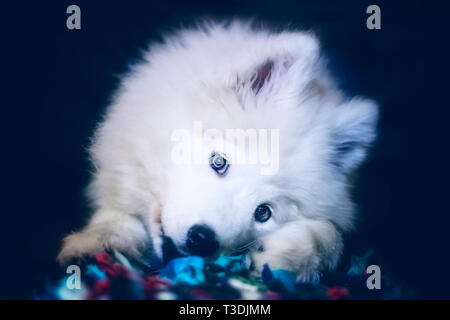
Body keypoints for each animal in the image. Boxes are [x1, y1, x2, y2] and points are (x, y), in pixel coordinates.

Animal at [58, 20, 378, 282]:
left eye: (263, 212)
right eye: (219, 162)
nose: (202, 239)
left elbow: (333, 237)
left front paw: (293, 253)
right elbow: (115, 218)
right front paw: (96, 245)